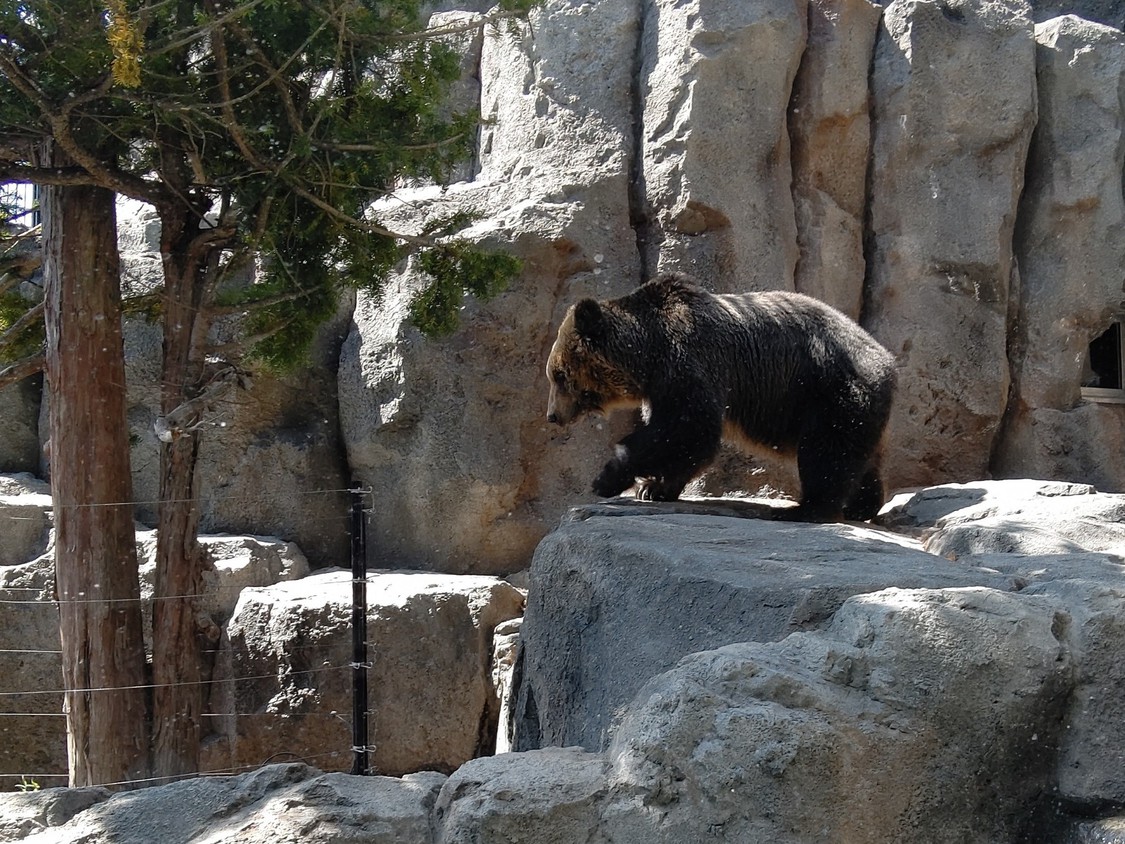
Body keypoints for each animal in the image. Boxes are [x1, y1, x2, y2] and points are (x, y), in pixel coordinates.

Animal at [544, 272, 895, 522]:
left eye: (558, 375)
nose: (552, 415)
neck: (649, 354)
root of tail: (887, 359)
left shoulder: (689, 360)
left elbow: (687, 427)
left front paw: (608, 478)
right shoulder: (661, 387)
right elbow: (680, 437)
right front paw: (653, 488)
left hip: (830, 389)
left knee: (826, 452)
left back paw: (805, 509)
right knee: (859, 454)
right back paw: (861, 505)